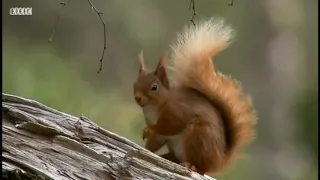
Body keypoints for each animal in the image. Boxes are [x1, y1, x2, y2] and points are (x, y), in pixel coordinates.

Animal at [132, 17, 255, 175]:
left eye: (154, 87)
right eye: (134, 84)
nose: (138, 97)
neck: (154, 107)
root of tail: (218, 161)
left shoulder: (177, 111)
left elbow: (170, 126)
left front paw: (149, 130)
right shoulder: (159, 132)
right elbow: (156, 141)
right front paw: (145, 148)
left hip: (198, 137)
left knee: (201, 167)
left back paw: (191, 165)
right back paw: (169, 157)